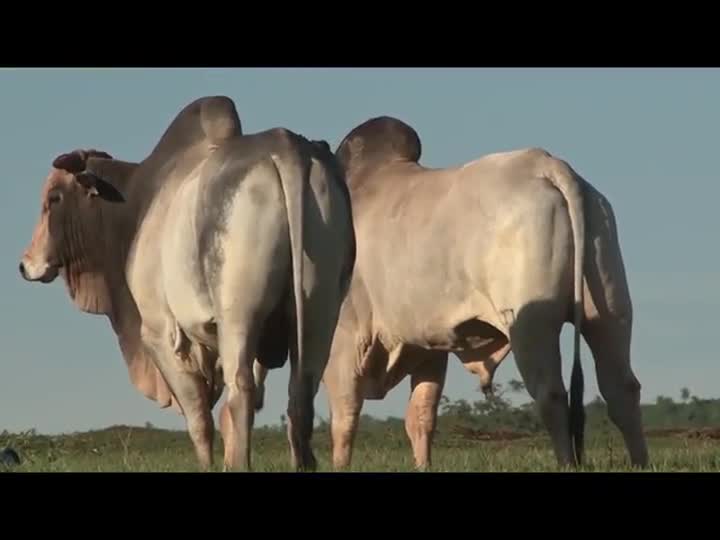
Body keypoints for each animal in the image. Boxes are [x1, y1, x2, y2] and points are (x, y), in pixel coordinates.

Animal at [256, 116, 648, 470]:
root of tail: (548, 167)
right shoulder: (430, 348)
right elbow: (421, 418)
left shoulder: (343, 341)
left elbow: (344, 419)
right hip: (609, 312)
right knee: (622, 388)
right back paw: (640, 461)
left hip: (532, 325)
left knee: (551, 393)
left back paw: (567, 463)